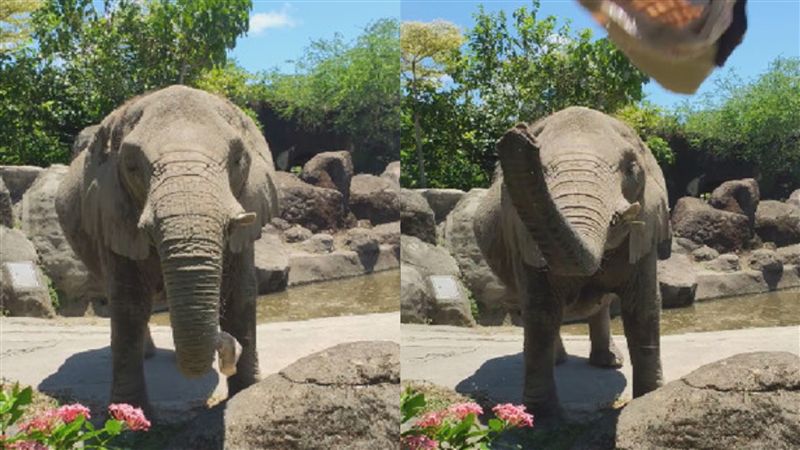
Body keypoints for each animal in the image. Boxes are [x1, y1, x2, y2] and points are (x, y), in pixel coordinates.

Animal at [56, 85, 279, 415]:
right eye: (132, 166)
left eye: (238, 160)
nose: (230, 351)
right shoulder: (111, 213)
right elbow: (129, 303)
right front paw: (128, 416)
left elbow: (241, 294)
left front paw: (246, 394)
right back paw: (146, 356)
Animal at [473, 106, 671, 422]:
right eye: (541, 167)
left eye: (631, 168)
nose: (519, 134)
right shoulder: (521, 234)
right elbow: (542, 309)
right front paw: (542, 418)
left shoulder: (646, 230)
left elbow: (644, 306)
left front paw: (649, 400)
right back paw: (559, 361)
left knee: (602, 306)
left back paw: (608, 363)